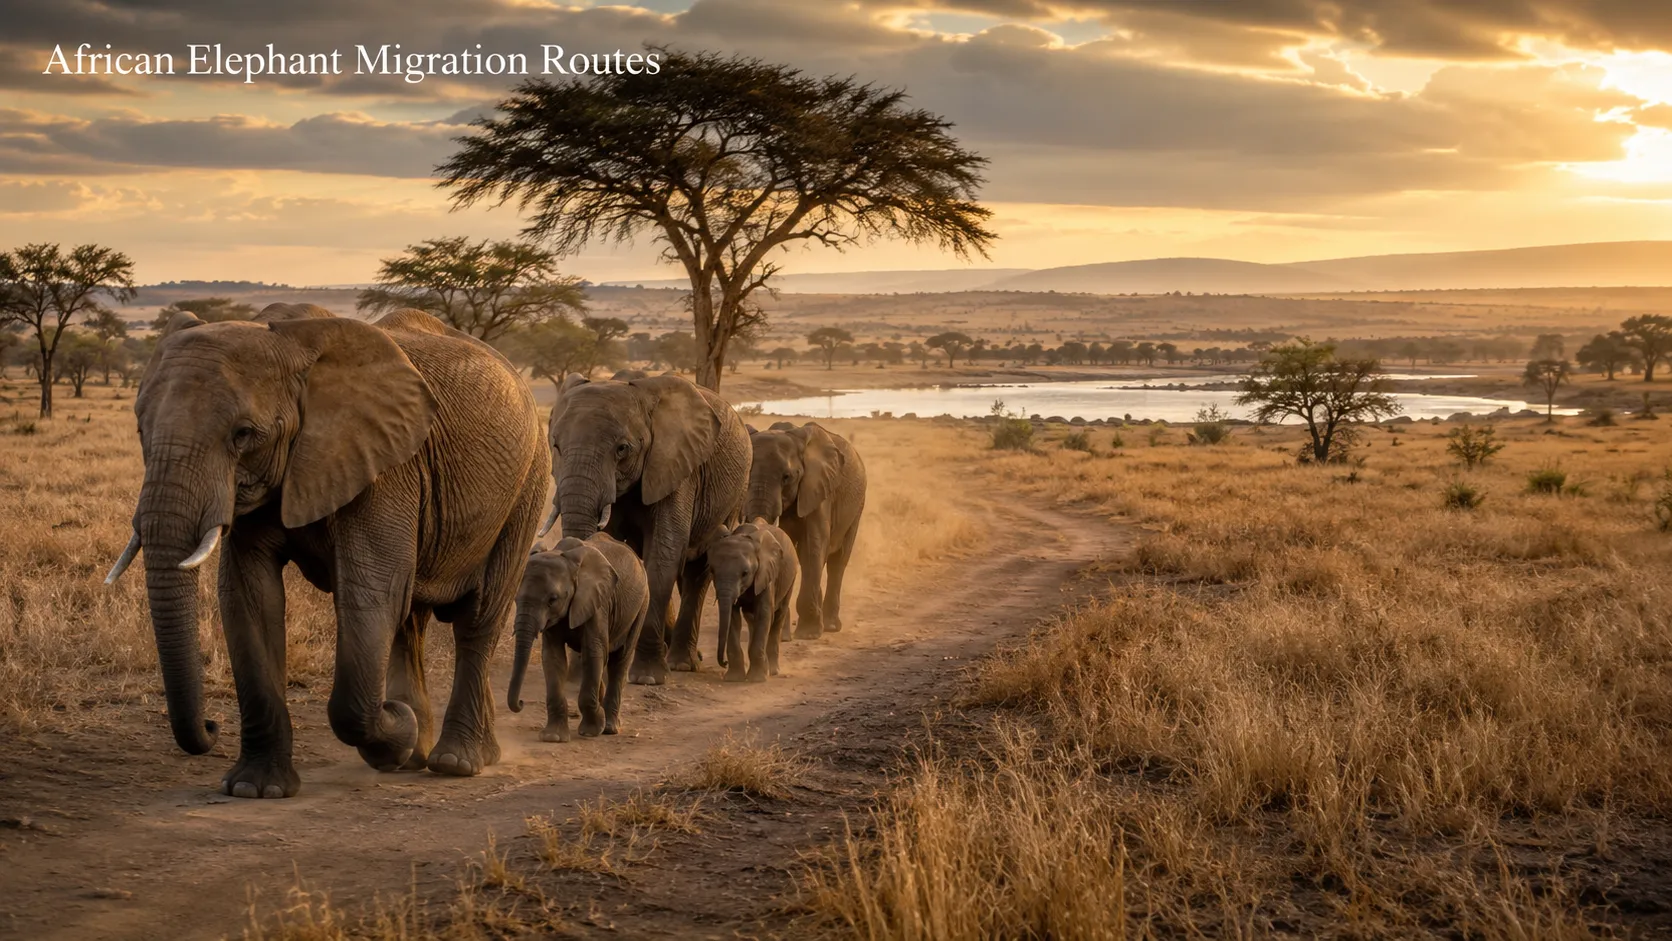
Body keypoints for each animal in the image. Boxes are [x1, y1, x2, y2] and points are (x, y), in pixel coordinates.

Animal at [107, 303, 549, 798]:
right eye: (140, 429)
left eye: (243, 434)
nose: (211, 726)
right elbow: (249, 598)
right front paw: (255, 789)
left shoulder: (385, 466)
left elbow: (369, 594)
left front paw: (396, 728)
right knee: (410, 619)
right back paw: (424, 750)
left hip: (527, 486)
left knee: (478, 619)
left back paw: (456, 760)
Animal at [506, 533, 648, 740]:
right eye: (516, 599)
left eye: (552, 600)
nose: (521, 703)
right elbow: (553, 657)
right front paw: (553, 737)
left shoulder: (597, 603)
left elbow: (593, 652)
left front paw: (591, 731)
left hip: (641, 605)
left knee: (620, 661)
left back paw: (609, 728)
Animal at [542, 373, 751, 685]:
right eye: (555, 446)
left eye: (622, 449)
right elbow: (611, 548)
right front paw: (583, 673)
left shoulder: (676, 466)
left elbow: (664, 554)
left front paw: (647, 678)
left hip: (732, 498)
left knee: (697, 569)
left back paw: (681, 663)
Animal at [706, 519, 796, 682]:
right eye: (712, 571)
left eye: (745, 573)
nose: (724, 662)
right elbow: (732, 617)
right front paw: (734, 679)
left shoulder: (766, 574)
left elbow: (764, 614)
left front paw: (757, 679)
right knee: (752, 619)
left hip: (790, 577)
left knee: (778, 616)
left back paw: (773, 671)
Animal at [745, 422, 867, 639]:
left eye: (786, 477)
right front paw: (782, 635)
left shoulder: (818, 490)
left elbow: (813, 544)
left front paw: (808, 634)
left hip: (857, 506)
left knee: (838, 561)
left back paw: (830, 626)